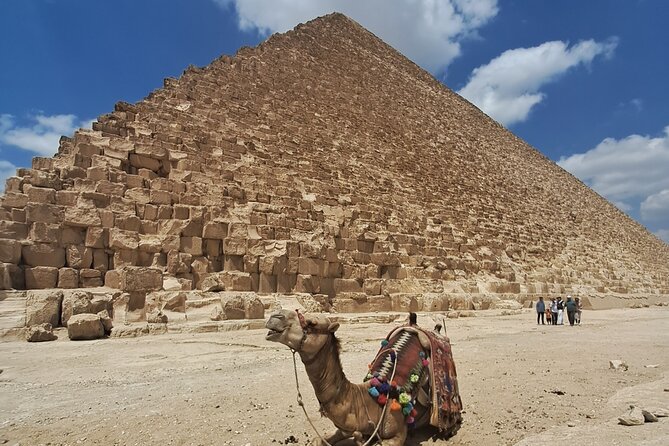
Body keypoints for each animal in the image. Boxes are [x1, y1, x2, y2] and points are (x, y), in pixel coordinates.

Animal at [265, 309, 462, 445]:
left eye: (311, 323)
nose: (275, 315)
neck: (369, 398)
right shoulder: (345, 428)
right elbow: (319, 439)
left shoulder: (397, 434)